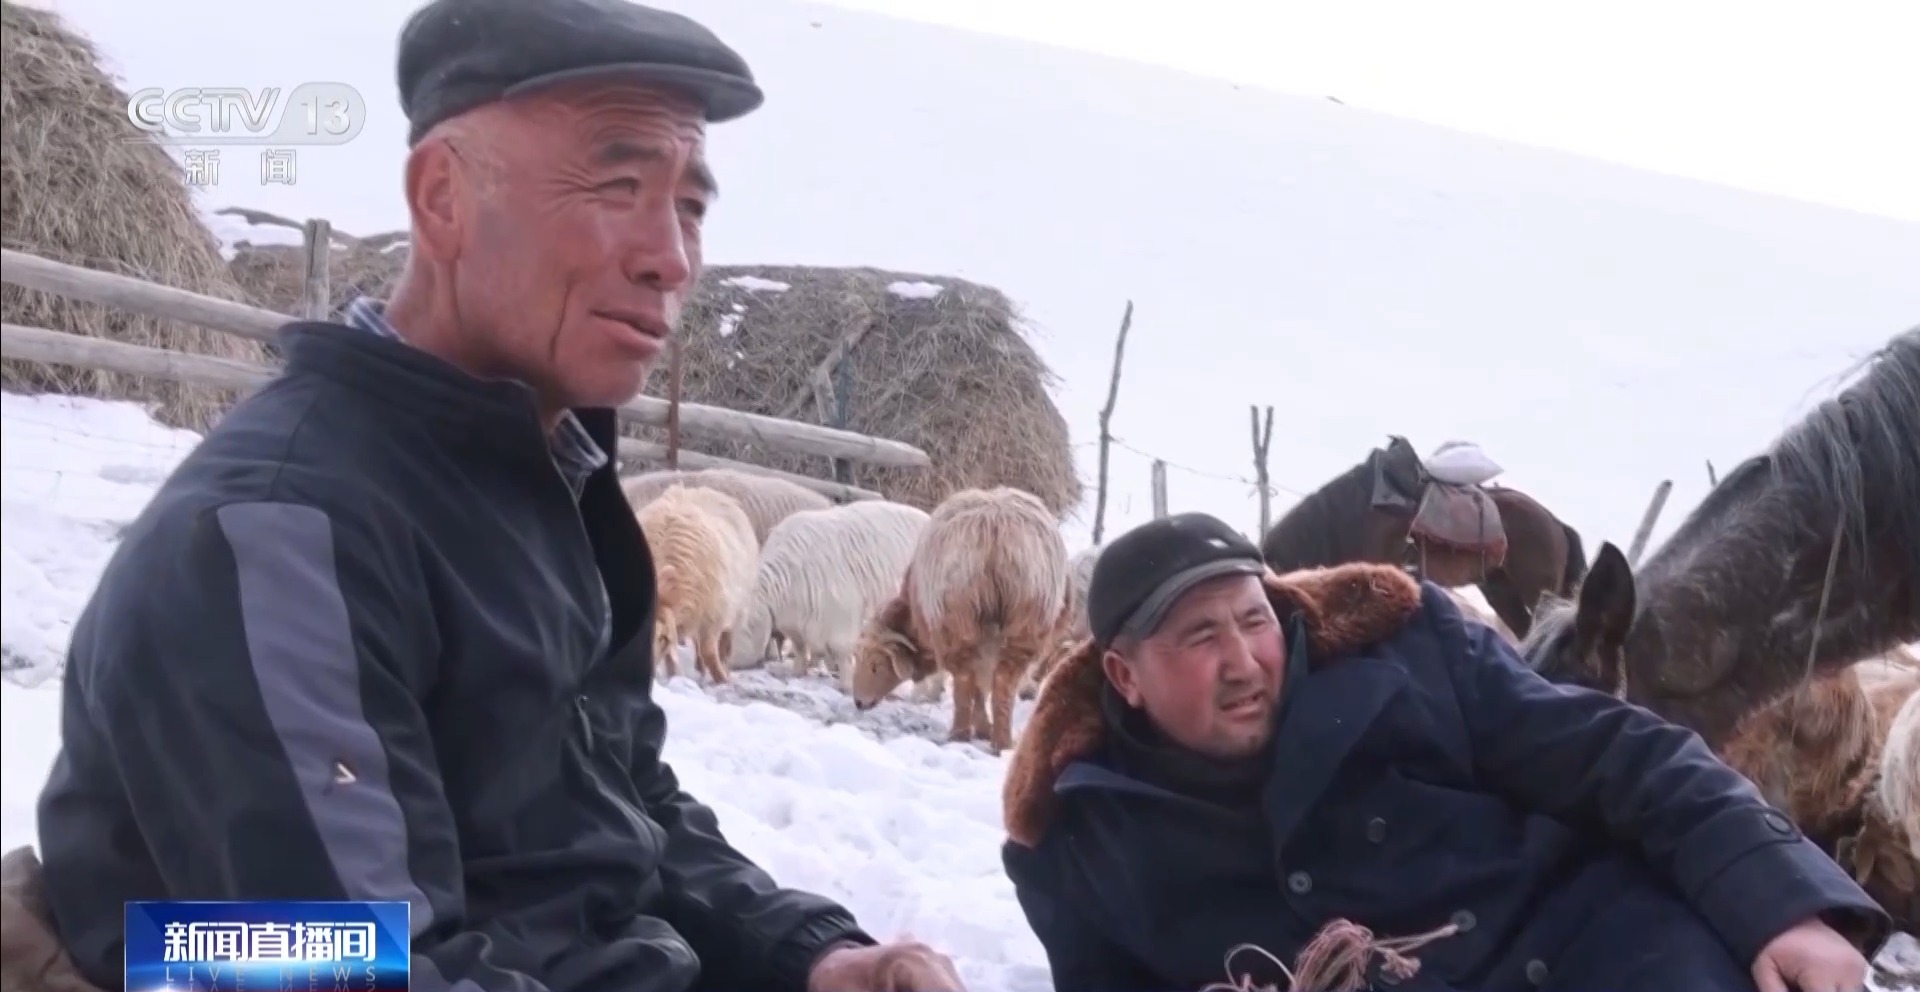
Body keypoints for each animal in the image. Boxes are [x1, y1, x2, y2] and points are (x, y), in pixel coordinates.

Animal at [633, 483, 759, 685]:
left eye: (660, 637)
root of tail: (702, 490)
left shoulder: (715, 615)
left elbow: (710, 651)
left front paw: (722, 678)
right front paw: (674, 675)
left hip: (738, 607)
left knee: (725, 642)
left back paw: (724, 667)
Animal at [727, 500, 933, 687]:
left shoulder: (842, 616)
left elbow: (842, 651)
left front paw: (847, 685)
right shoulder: (795, 623)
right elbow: (800, 648)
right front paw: (798, 672)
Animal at [848, 486, 1069, 753]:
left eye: (876, 665)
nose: (858, 702)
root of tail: (996, 527)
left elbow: (975, 687)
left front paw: (980, 727)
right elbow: (983, 686)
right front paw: (985, 728)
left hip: (957, 618)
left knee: (964, 680)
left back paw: (960, 734)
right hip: (1028, 618)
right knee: (1004, 682)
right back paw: (1003, 742)